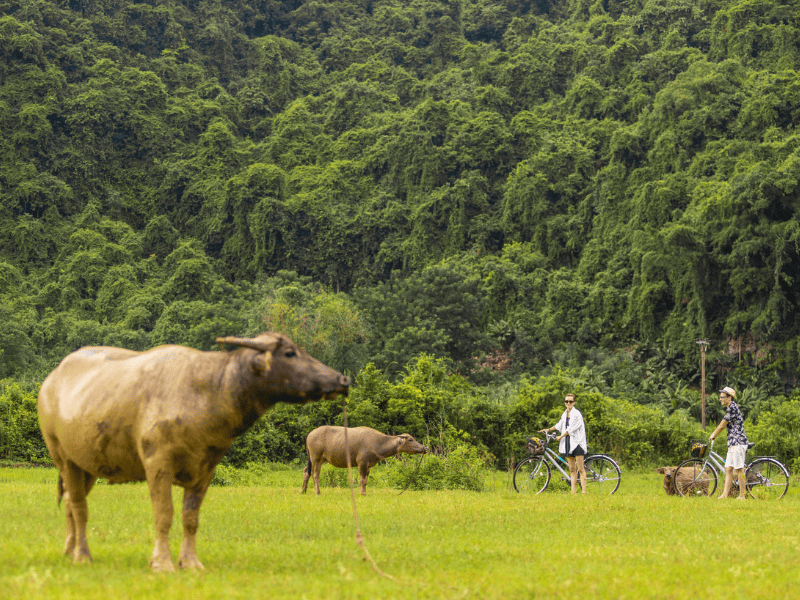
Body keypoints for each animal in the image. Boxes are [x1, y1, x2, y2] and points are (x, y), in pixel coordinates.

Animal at [37, 332, 348, 572]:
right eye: (290, 353)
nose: (342, 379)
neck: (207, 392)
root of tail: (50, 383)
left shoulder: (206, 469)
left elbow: (190, 519)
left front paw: (190, 562)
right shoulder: (158, 464)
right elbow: (164, 515)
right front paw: (162, 563)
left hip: (87, 464)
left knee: (69, 502)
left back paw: (69, 550)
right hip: (63, 458)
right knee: (79, 506)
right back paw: (82, 555)